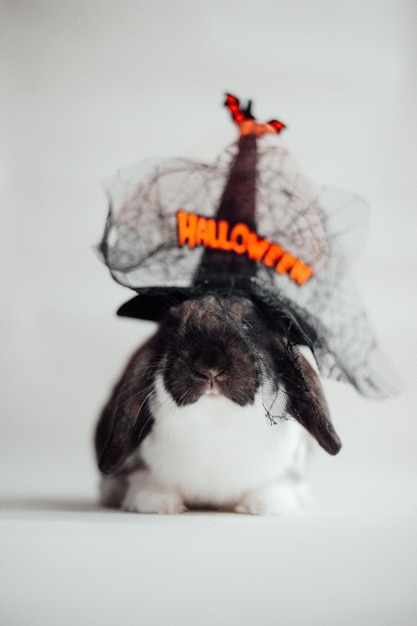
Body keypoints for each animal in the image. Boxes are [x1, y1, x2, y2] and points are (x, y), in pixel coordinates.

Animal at [96, 294, 340, 516]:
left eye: (248, 325)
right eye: (173, 327)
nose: (209, 365)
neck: (214, 420)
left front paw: (262, 507)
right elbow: (147, 484)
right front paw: (159, 505)